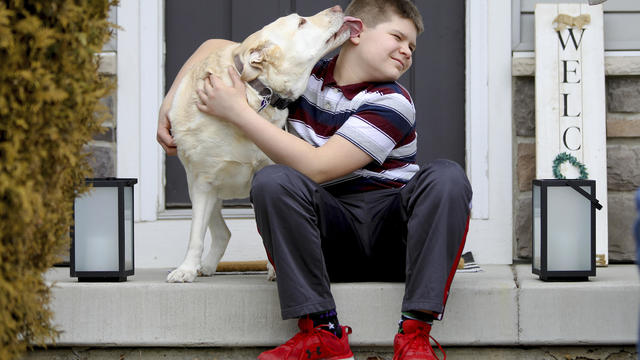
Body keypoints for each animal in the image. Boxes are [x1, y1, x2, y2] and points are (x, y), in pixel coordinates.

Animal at [168, 5, 362, 282]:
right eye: (301, 23)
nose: (336, 7)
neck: (255, 94)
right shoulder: (203, 182)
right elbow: (196, 235)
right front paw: (186, 269)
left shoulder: (264, 173)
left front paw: (275, 268)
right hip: (196, 186)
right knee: (219, 231)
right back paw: (204, 266)